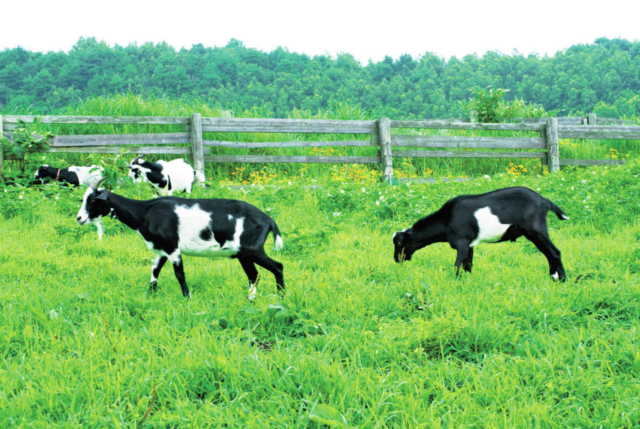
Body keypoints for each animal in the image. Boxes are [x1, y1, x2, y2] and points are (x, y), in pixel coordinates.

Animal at [75, 179, 284, 300]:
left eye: (93, 200)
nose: (79, 218)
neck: (145, 212)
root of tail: (269, 220)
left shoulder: (172, 247)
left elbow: (179, 274)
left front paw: (187, 298)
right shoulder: (162, 249)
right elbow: (155, 269)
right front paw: (150, 294)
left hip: (251, 249)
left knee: (277, 267)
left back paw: (281, 297)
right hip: (242, 254)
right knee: (254, 275)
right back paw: (251, 299)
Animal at [392, 186, 568, 280]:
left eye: (399, 242)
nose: (396, 259)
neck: (447, 219)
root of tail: (544, 201)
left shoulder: (461, 242)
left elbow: (457, 265)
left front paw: (455, 282)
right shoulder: (469, 244)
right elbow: (467, 265)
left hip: (535, 229)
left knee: (554, 252)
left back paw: (561, 280)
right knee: (548, 254)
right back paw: (553, 277)